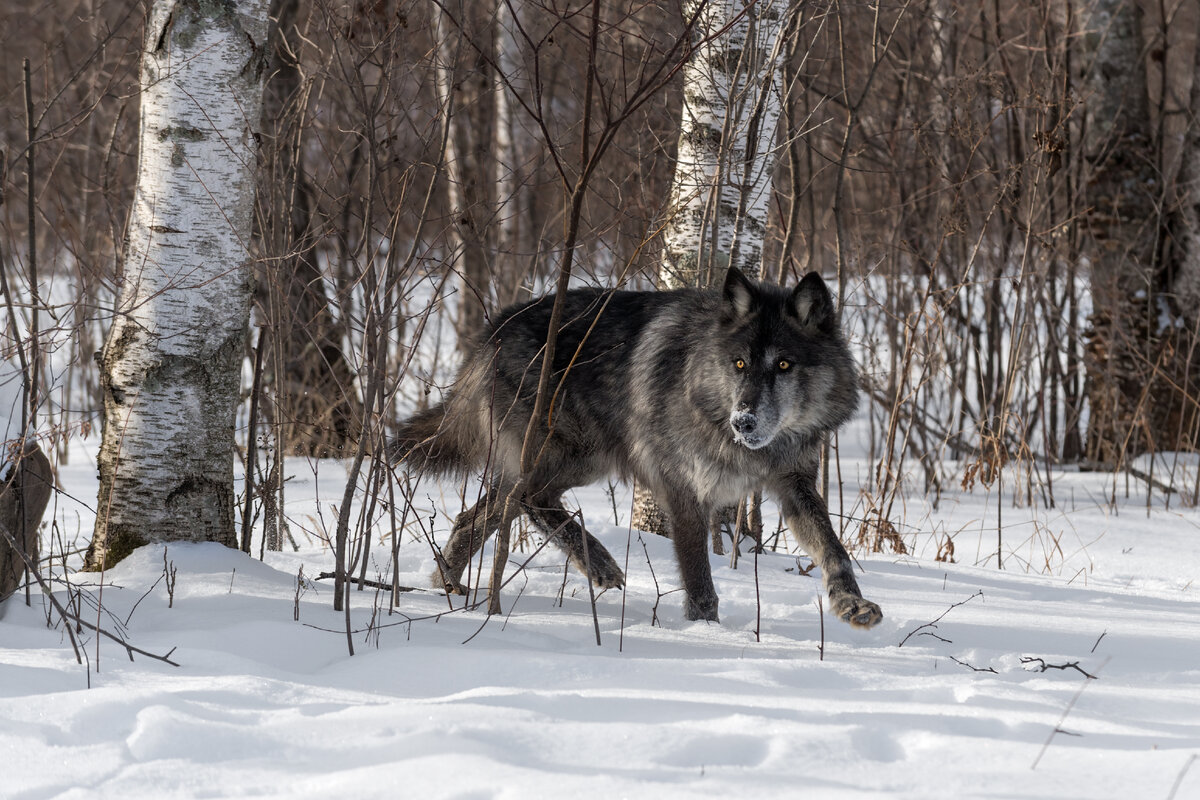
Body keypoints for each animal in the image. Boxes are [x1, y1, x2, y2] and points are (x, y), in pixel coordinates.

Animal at [393, 268, 883, 633]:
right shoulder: (684, 491)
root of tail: (492, 331)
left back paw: (447, 586)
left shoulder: (794, 483)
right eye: (739, 364)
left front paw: (851, 604)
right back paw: (600, 565)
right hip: (578, 453)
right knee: (529, 499)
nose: (743, 422)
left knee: (477, 515)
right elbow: (699, 578)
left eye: (784, 364)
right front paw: (707, 632)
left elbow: (833, 548)